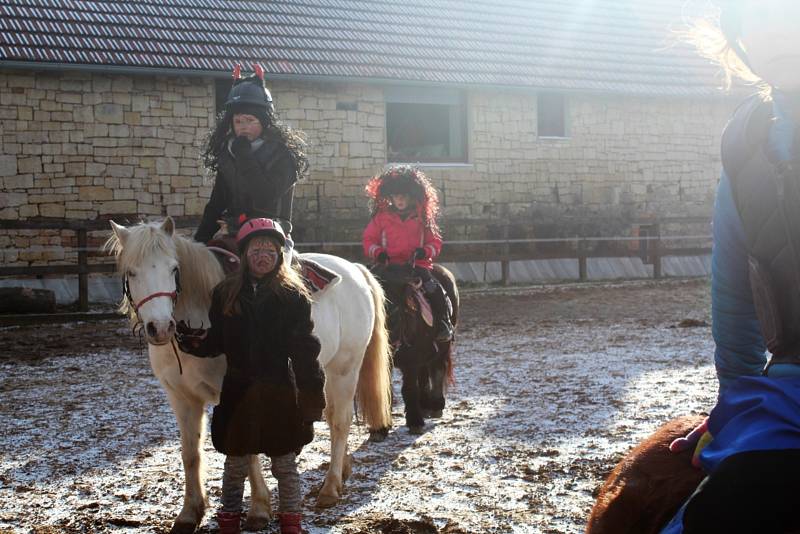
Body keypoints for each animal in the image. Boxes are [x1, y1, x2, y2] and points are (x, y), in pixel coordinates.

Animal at [106, 219, 394, 534]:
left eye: (173, 268)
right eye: (131, 272)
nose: (160, 327)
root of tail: (354, 268)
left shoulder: (239, 395)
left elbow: (249, 452)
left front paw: (259, 508)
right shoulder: (181, 399)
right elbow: (190, 454)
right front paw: (189, 513)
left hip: (344, 369)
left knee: (340, 422)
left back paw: (329, 488)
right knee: (332, 417)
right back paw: (343, 470)